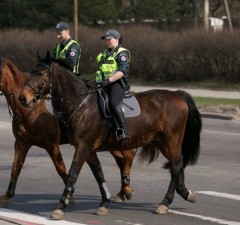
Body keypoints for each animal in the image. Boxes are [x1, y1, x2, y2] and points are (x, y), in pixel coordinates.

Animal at [0, 57, 136, 213]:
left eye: (41, 74)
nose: (23, 98)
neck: (32, 108)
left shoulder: (51, 144)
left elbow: (61, 169)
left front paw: (68, 197)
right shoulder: (21, 143)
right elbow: (15, 168)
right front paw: (6, 196)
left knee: (128, 156)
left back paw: (126, 190)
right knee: (122, 159)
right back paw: (123, 191)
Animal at [19, 51, 202, 220]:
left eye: (41, 73)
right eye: (32, 71)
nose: (23, 98)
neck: (81, 104)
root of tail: (176, 94)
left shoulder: (83, 147)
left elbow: (72, 175)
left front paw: (59, 207)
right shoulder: (89, 150)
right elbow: (98, 173)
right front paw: (104, 203)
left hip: (172, 140)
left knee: (176, 167)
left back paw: (165, 202)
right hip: (162, 142)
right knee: (177, 165)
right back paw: (185, 193)